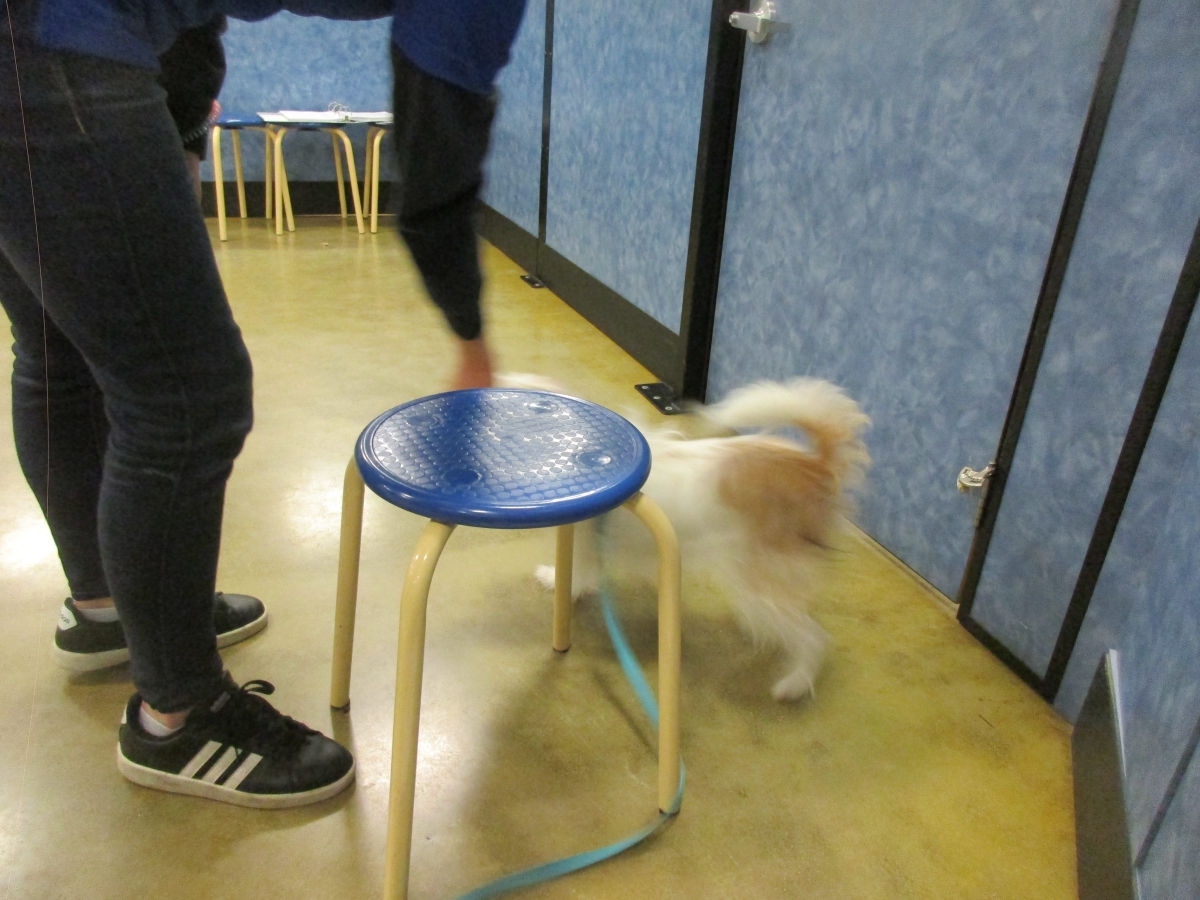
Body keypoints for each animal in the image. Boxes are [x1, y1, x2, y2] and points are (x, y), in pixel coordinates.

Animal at [498, 374, 870, 702]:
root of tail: (815, 466)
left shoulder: (588, 545)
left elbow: (577, 575)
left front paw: (554, 580)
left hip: (759, 585)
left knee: (814, 638)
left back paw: (794, 685)